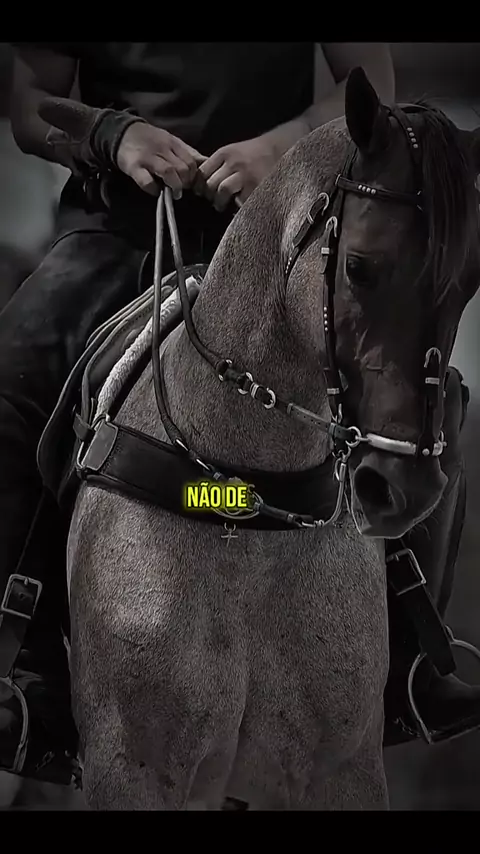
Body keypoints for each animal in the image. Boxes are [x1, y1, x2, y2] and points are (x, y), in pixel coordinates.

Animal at [65, 68, 480, 810]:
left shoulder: (341, 772)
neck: (248, 506)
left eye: (469, 282)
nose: (402, 490)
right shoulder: (131, 773)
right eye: (359, 267)